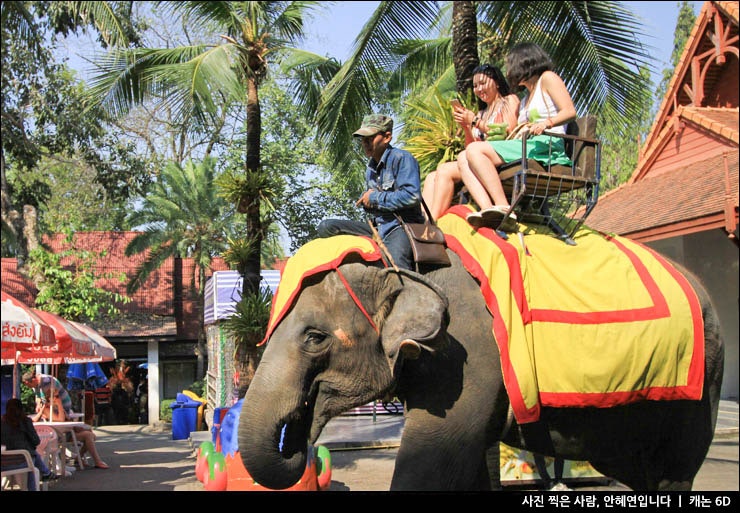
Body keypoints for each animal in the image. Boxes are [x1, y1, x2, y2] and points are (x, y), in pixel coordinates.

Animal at [238, 244, 724, 491]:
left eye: (315, 338)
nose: (301, 442)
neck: (398, 264)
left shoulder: (464, 354)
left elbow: (429, 463)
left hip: (700, 387)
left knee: (675, 472)